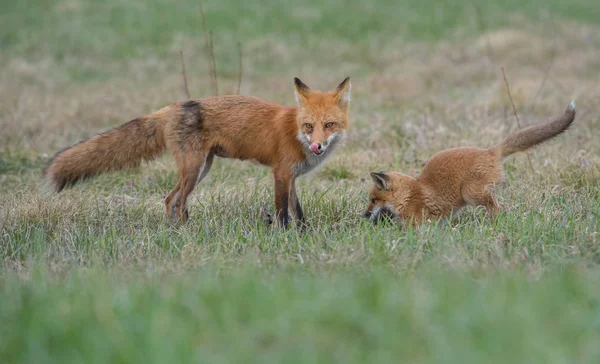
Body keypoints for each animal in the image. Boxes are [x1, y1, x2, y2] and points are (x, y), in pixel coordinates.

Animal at [44, 77, 352, 228]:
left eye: (329, 125)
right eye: (309, 126)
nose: (317, 146)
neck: (295, 131)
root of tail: (171, 107)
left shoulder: (292, 178)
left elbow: (298, 212)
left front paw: (304, 234)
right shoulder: (281, 174)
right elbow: (282, 213)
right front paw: (285, 237)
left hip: (202, 168)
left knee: (172, 200)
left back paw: (179, 231)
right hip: (194, 169)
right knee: (175, 200)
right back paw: (184, 232)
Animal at [364, 101, 576, 228]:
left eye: (373, 200)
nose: (364, 215)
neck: (409, 194)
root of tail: (489, 151)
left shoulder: (418, 223)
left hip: (472, 194)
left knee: (498, 208)